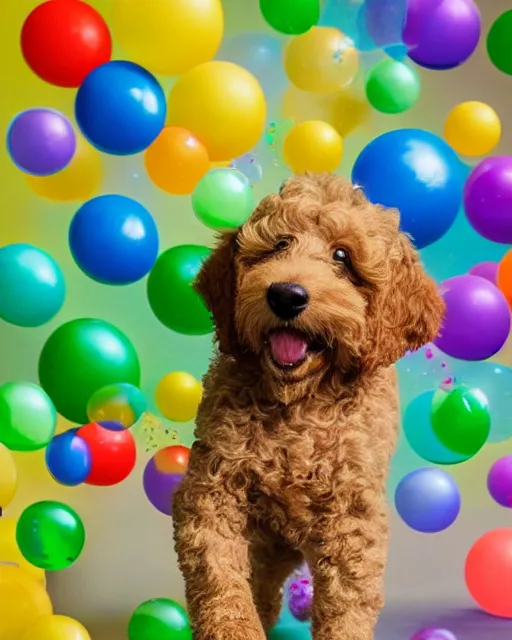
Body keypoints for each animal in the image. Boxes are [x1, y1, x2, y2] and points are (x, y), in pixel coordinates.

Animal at [173, 172, 444, 636]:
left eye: (342, 256)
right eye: (279, 245)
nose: (285, 295)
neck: (296, 405)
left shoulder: (351, 517)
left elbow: (347, 600)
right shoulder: (212, 490)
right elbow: (220, 575)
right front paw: (234, 629)